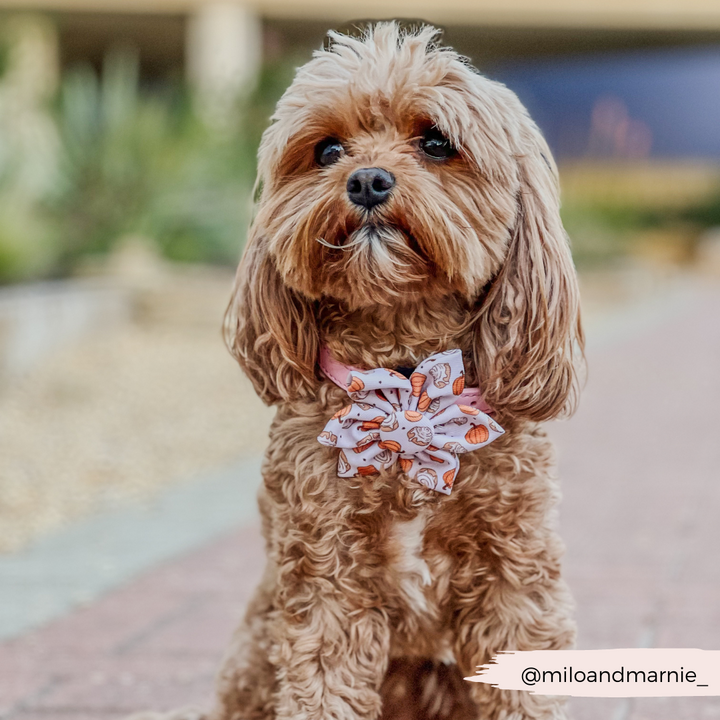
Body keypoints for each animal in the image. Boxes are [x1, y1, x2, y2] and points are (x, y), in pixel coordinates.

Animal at [131, 19, 584, 720]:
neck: (404, 384)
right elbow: (322, 684)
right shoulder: (325, 579)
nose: (367, 179)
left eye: (436, 142)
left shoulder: (514, 572)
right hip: (254, 651)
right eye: (327, 150)